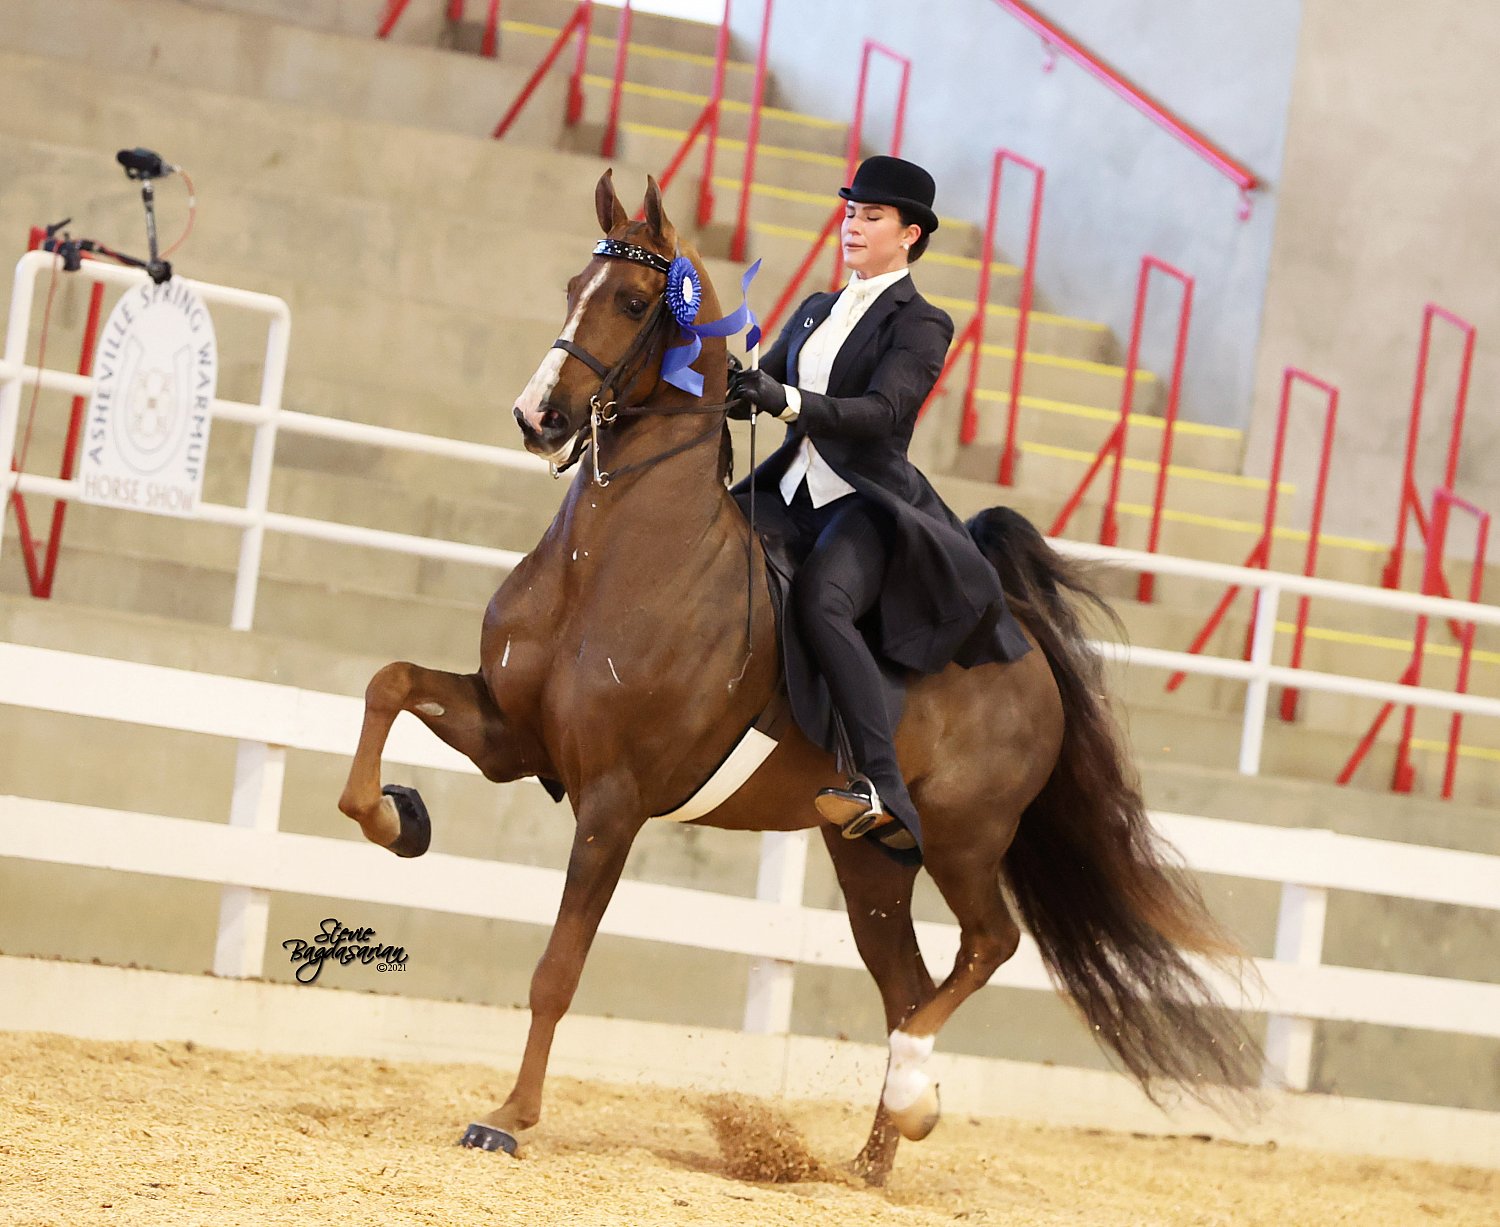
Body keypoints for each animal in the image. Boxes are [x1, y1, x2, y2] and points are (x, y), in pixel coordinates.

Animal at [337, 169, 1254, 1176]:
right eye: (572, 285)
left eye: (632, 301)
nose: (537, 418)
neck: (609, 562)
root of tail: (1021, 650)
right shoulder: (512, 735)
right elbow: (387, 684)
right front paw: (399, 817)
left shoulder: (613, 797)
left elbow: (558, 968)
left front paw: (507, 1115)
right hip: (873, 861)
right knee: (908, 982)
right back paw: (872, 1159)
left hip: (967, 838)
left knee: (987, 946)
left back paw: (915, 1090)